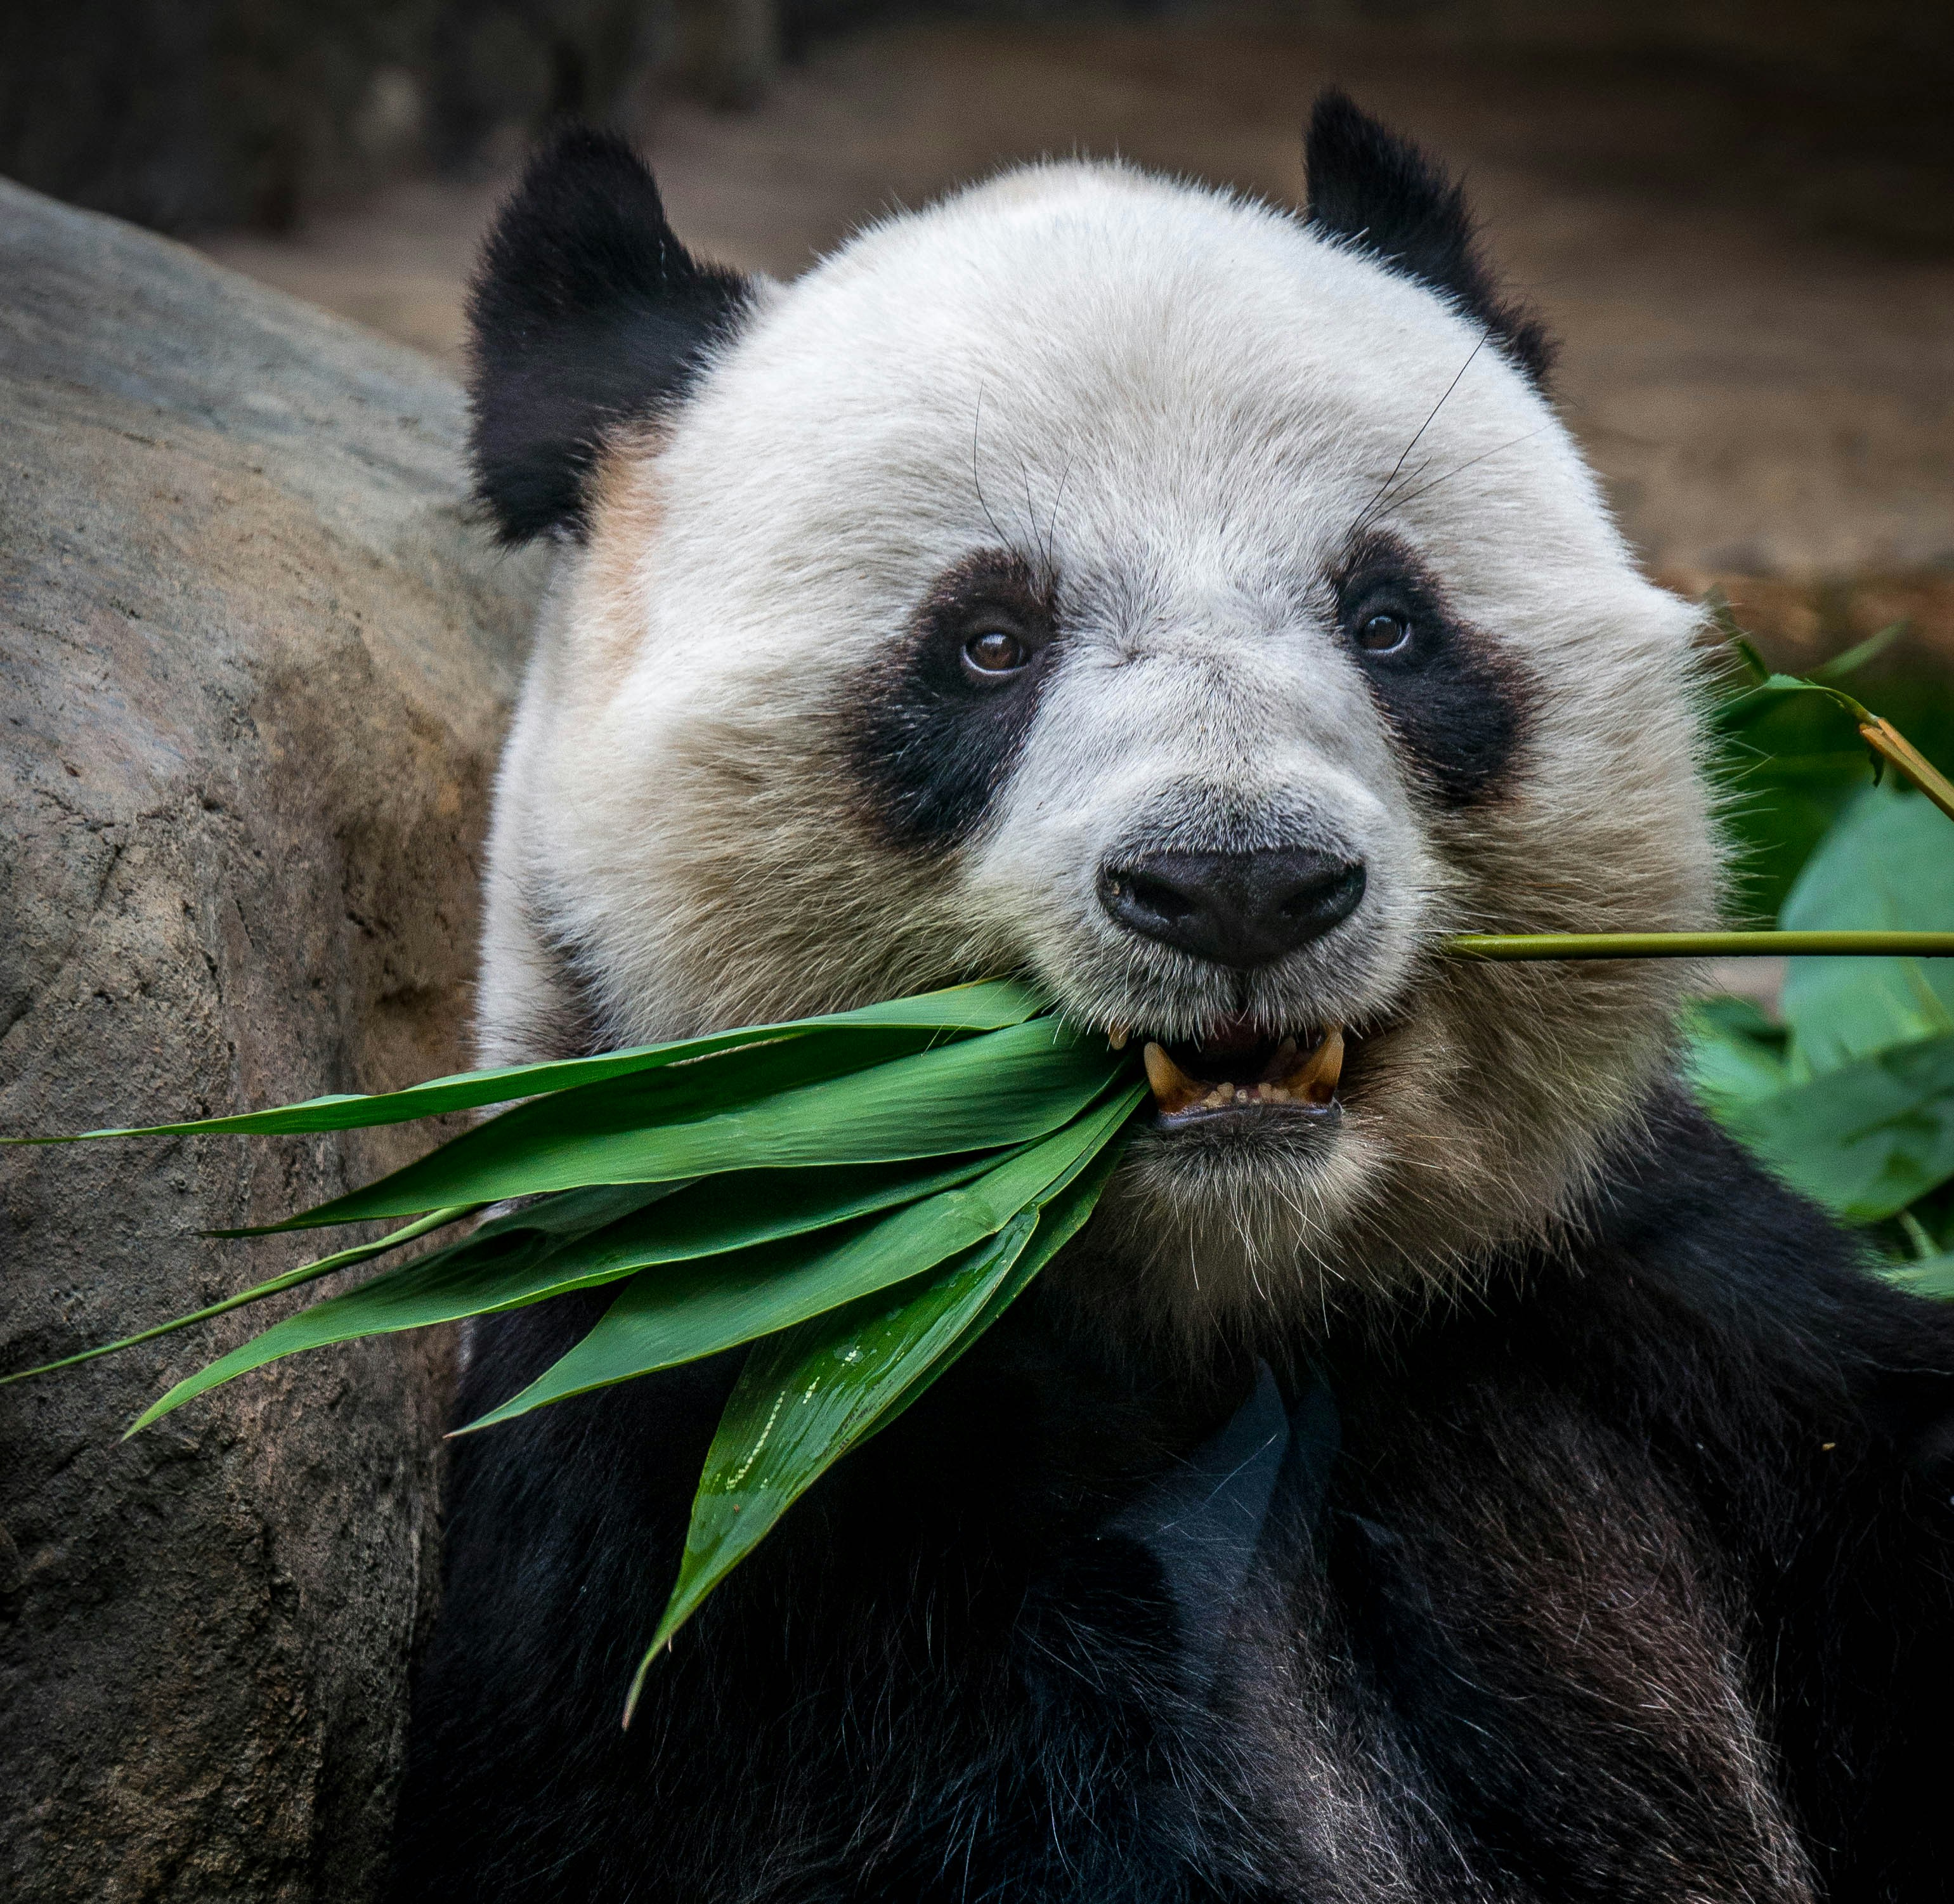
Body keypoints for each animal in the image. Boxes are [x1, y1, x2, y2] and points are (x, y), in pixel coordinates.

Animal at [384, 93, 1954, 1904]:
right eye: (988, 641)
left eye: (1386, 617)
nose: (1239, 883)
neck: (1210, 1298)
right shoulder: (724, 1474)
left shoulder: (1643, 1312)